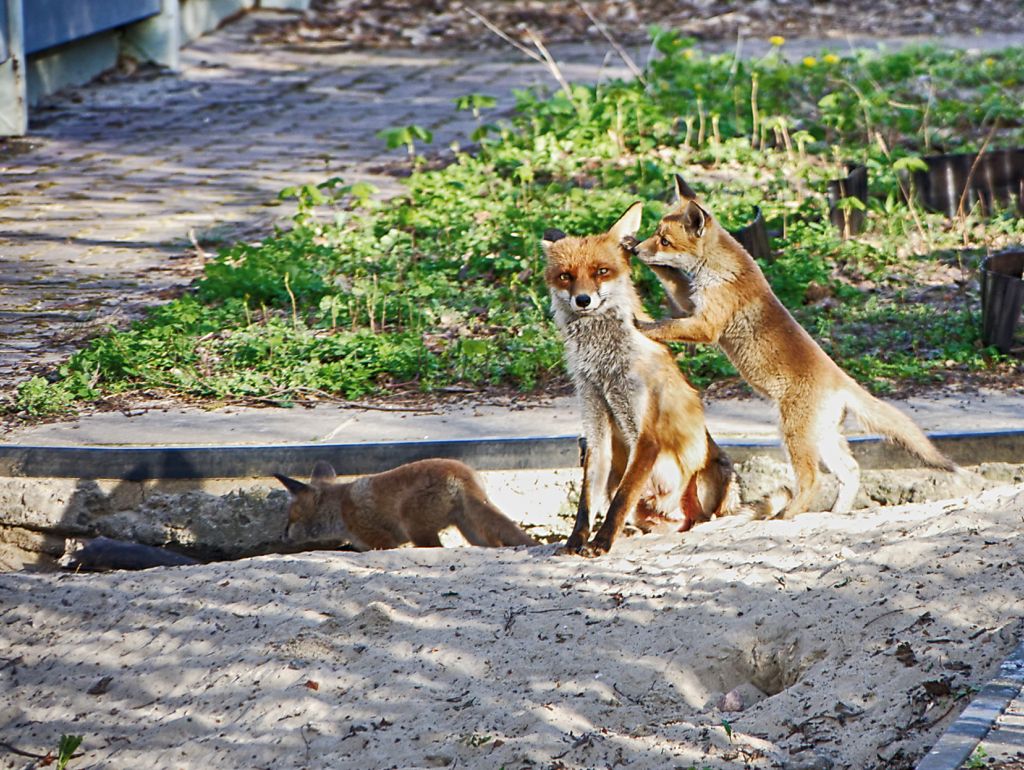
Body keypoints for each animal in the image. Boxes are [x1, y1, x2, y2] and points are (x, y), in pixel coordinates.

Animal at [276, 460, 540, 548]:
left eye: (290, 518)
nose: (283, 536)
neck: (340, 508)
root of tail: (461, 472)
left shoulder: (382, 541)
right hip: (472, 532)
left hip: (415, 528)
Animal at [544, 201, 737, 557]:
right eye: (565, 276)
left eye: (601, 271)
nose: (583, 300)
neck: (604, 367)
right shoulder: (594, 428)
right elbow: (587, 502)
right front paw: (577, 541)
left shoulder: (647, 434)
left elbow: (622, 498)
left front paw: (602, 542)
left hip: (708, 473)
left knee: (696, 518)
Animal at [630, 174, 958, 518]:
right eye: (656, 235)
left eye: (664, 241)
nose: (636, 249)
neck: (718, 269)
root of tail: (842, 381)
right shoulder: (692, 302)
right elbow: (671, 279)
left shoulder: (706, 324)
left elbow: (668, 325)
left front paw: (644, 326)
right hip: (825, 438)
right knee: (851, 471)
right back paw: (837, 513)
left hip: (793, 434)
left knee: (813, 479)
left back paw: (785, 515)